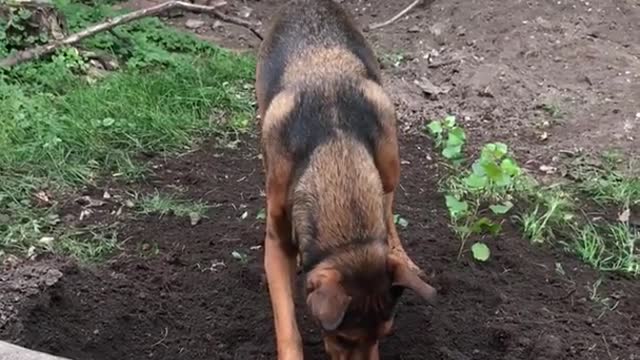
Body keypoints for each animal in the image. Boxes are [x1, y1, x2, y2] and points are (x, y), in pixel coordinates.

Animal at [258, 1, 438, 358]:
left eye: (384, 334)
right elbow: (287, 324)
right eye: (343, 338)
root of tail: (309, 4)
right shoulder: (277, 238)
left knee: (388, 207)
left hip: (389, 160)